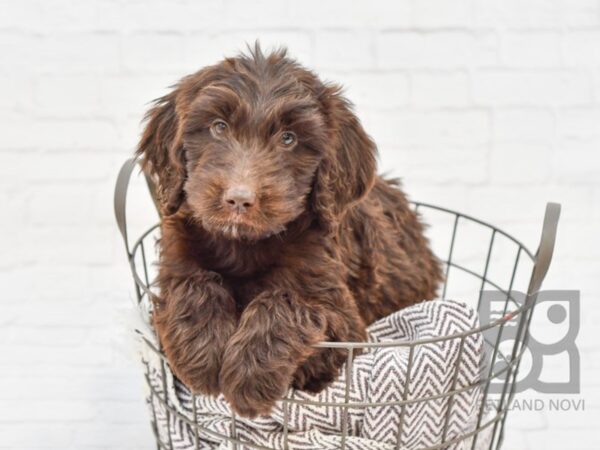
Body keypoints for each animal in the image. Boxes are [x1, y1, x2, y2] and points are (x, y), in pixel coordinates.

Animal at [138, 45, 442, 418]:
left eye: (289, 138)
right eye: (218, 127)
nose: (239, 199)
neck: (245, 244)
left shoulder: (348, 325)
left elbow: (284, 300)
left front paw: (248, 376)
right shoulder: (177, 254)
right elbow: (194, 282)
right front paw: (202, 356)